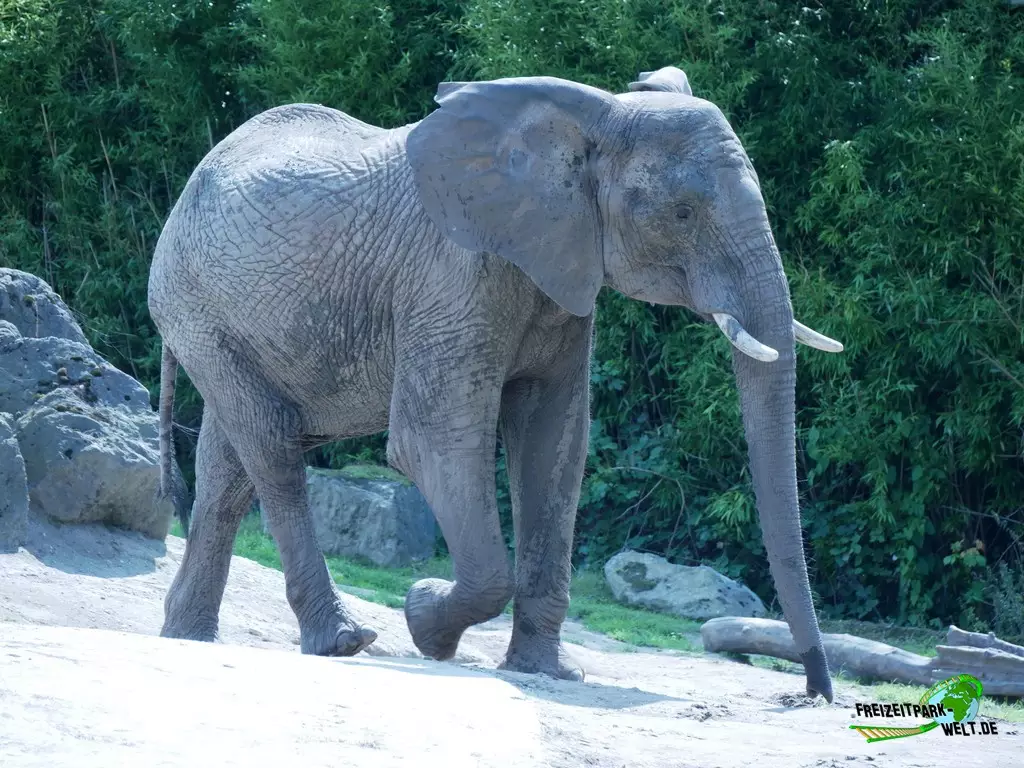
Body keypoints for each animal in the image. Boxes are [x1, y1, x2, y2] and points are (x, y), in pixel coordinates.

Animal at [148, 64, 844, 702]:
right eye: (681, 212)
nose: (814, 690)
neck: (589, 120)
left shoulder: (562, 273)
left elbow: (553, 444)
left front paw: (549, 672)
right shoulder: (452, 275)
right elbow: (432, 442)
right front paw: (424, 617)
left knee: (230, 467)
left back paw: (187, 638)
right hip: (194, 306)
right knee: (273, 454)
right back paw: (342, 641)